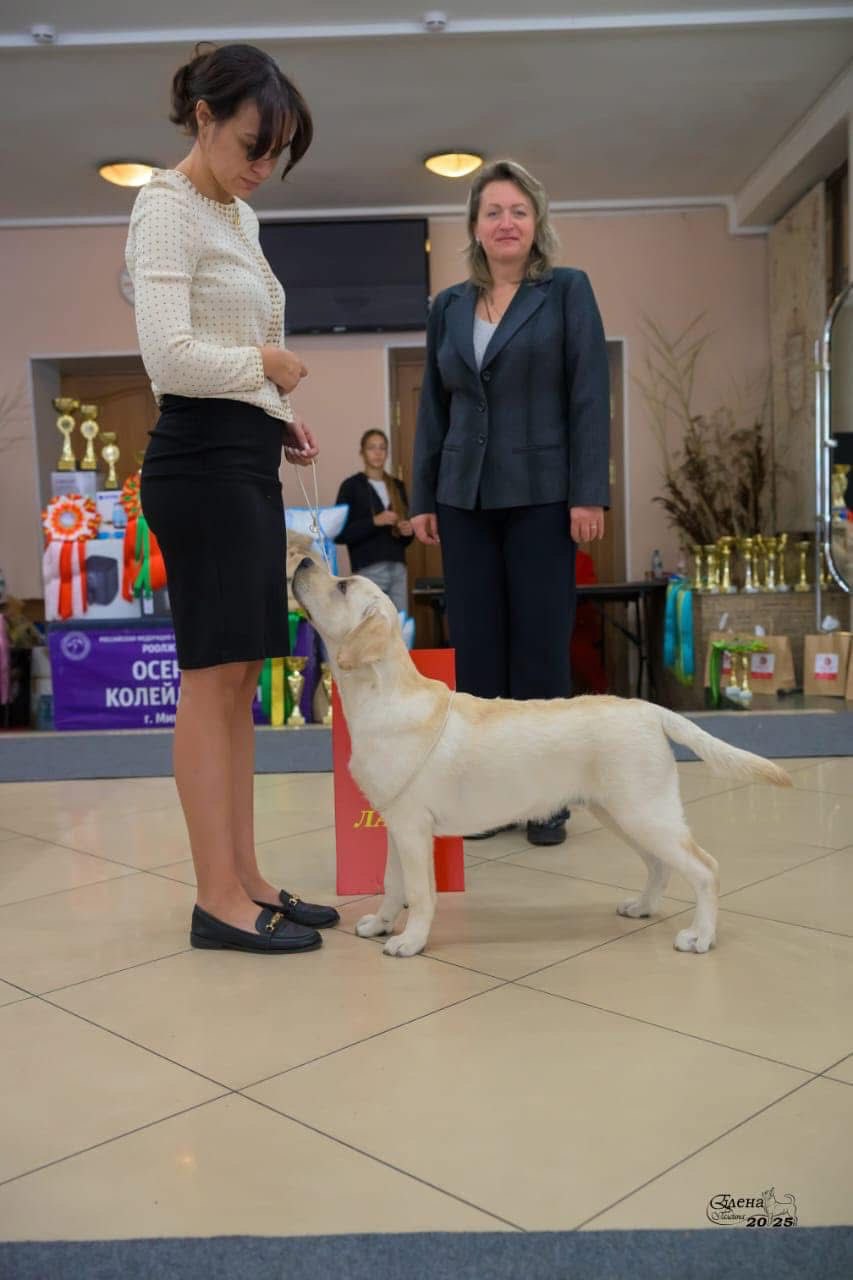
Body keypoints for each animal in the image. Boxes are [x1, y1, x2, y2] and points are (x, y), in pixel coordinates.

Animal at [293, 558, 792, 958]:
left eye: (342, 586)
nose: (301, 561)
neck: (382, 693)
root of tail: (649, 708)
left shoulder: (413, 827)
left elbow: (419, 891)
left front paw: (410, 942)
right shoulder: (397, 824)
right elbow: (391, 883)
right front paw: (380, 924)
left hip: (645, 813)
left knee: (705, 868)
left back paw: (700, 936)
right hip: (624, 813)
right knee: (659, 864)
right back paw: (641, 907)